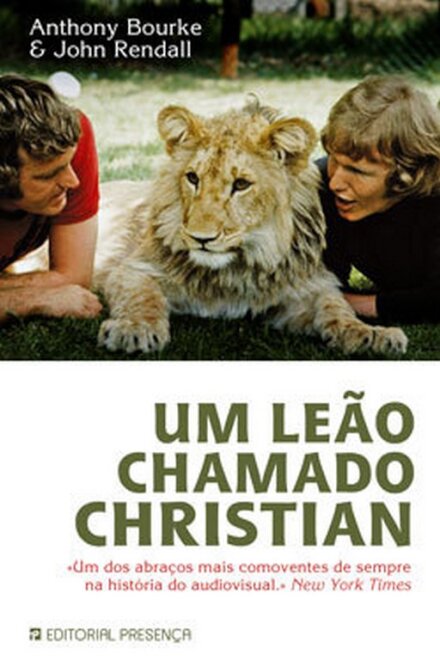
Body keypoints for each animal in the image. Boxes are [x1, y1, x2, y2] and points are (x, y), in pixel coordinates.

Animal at [94, 99, 408, 356]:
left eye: (241, 184)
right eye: (193, 178)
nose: (200, 238)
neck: (235, 270)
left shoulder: (305, 288)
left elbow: (336, 307)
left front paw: (371, 334)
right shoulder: (133, 268)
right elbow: (142, 298)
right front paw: (134, 330)